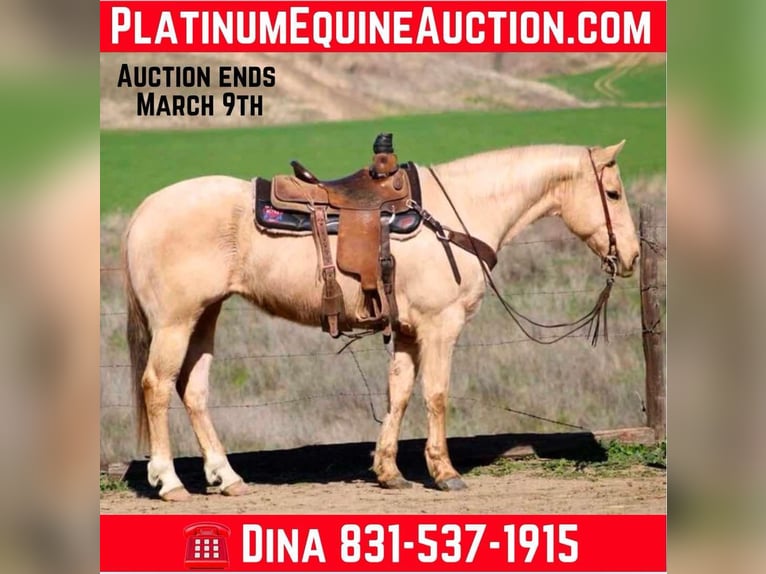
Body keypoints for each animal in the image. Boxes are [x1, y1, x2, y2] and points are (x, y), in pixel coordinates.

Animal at [123, 141, 639, 501]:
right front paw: (445, 473)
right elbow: (435, 396)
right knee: (157, 386)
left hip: (204, 316)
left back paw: (227, 478)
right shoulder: (439, 327)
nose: (632, 256)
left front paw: (390, 473)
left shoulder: (408, 332)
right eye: (613, 193)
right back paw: (169, 481)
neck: (456, 214)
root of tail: (144, 209)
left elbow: (400, 394)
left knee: (193, 390)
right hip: (175, 322)